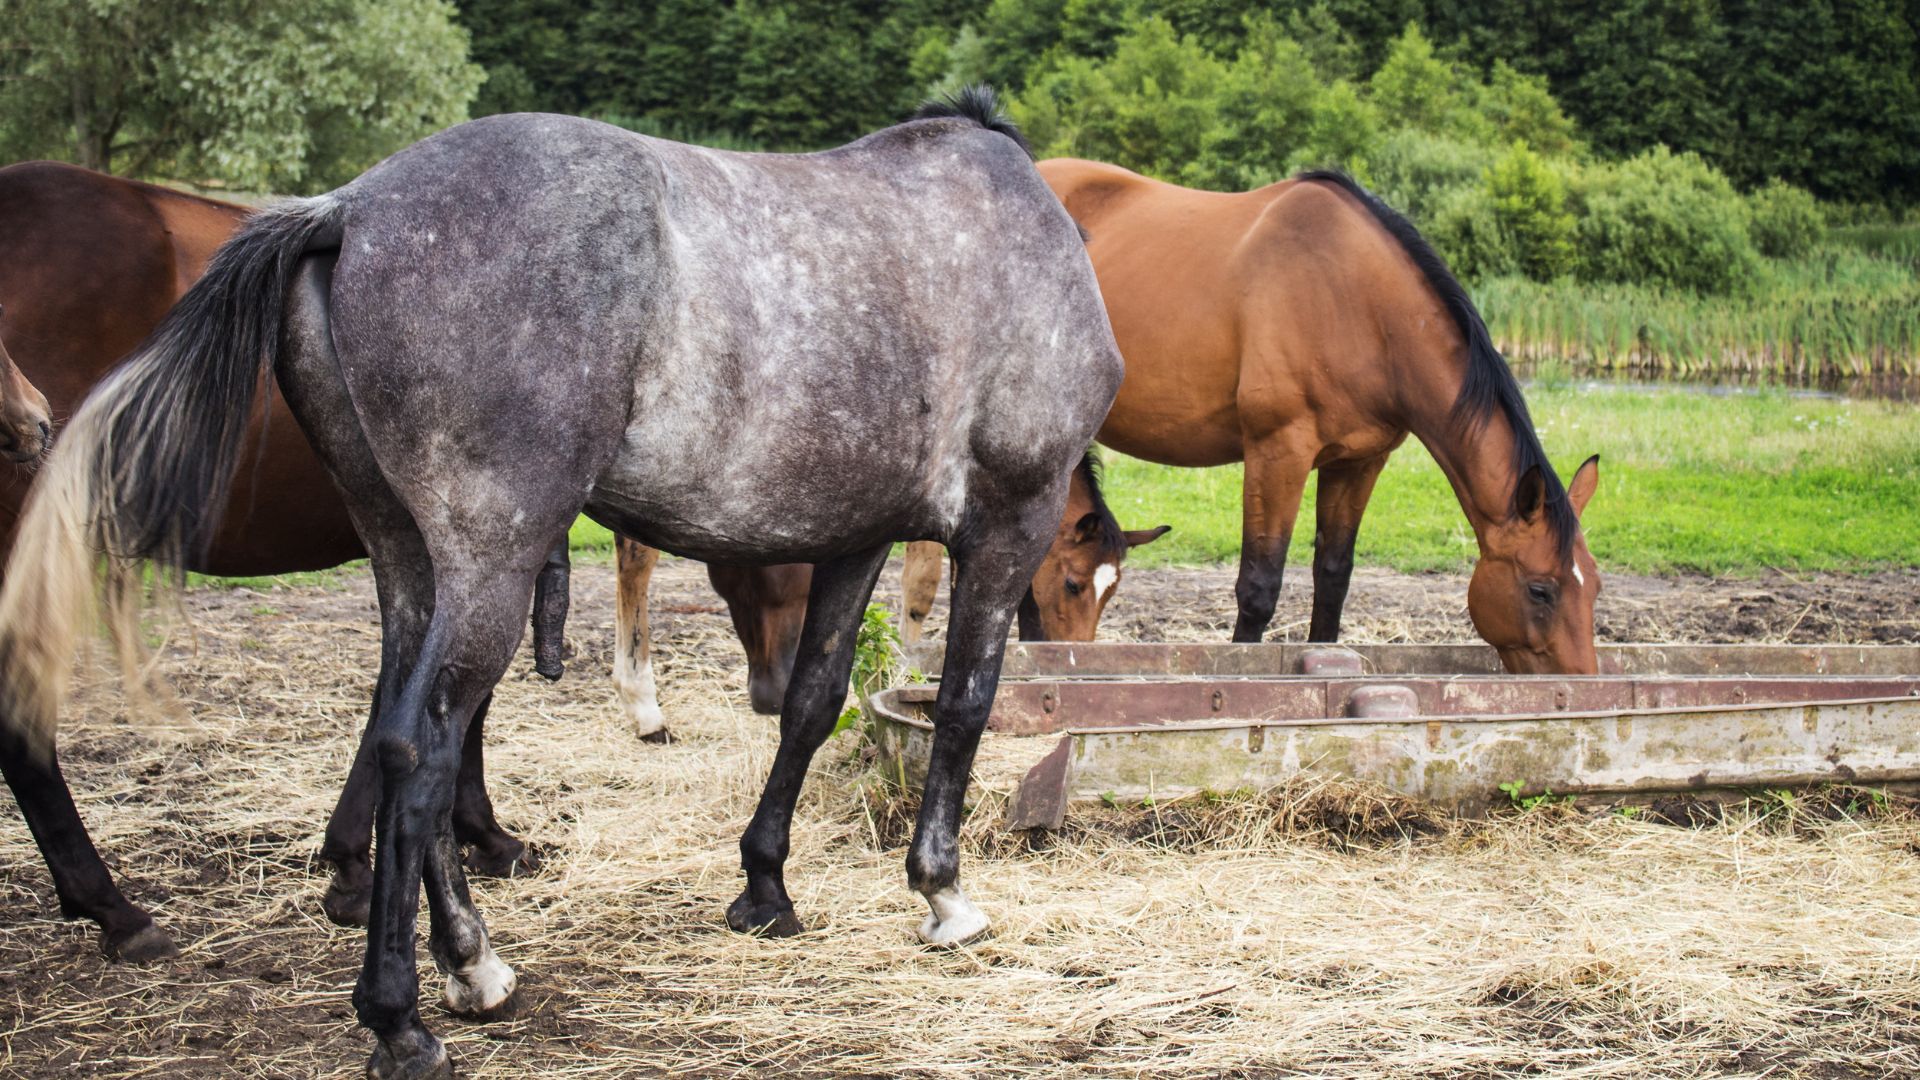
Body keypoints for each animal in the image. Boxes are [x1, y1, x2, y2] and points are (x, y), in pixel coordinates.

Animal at [1016, 160, 1603, 673]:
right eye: (1541, 589)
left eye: (1594, 584)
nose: (1582, 681)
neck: (1359, 303)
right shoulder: (1278, 452)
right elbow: (1259, 585)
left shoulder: (1359, 462)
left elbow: (1334, 577)